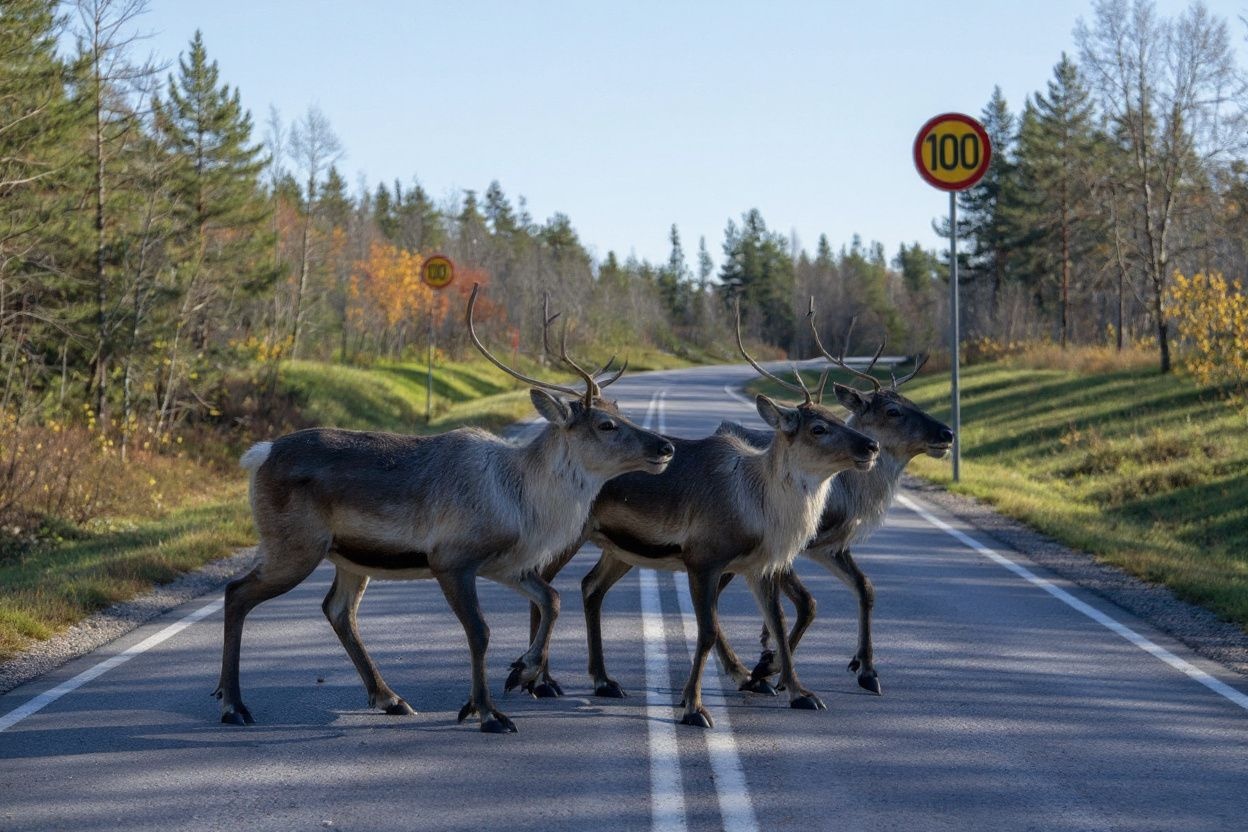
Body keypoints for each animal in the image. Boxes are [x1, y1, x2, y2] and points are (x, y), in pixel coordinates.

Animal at [213, 285, 675, 733]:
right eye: (606, 425)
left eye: (621, 413)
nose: (665, 446)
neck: (523, 501)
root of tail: (260, 454)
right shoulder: (451, 559)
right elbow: (480, 632)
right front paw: (487, 712)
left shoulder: (507, 564)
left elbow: (552, 600)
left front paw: (522, 672)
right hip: (295, 546)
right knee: (237, 592)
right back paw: (234, 704)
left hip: (349, 557)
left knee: (337, 610)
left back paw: (390, 698)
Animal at [712, 307, 953, 698]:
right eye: (893, 410)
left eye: (912, 402)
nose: (947, 433)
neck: (851, 493)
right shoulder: (796, 544)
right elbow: (807, 604)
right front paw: (770, 665)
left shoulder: (832, 546)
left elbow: (865, 588)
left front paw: (866, 667)